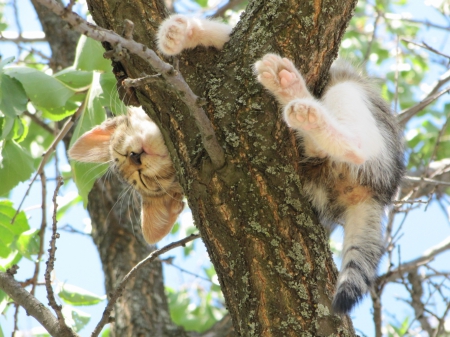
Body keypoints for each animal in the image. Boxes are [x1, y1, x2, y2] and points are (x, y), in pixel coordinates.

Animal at [156, 13, 404, 312]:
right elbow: (225, 36)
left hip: (365, 115)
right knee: (319, 149)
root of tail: (379, 193)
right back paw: (293, 96)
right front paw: (180, 32)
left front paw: (183, 30)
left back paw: (307, 106)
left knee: (355, 139)